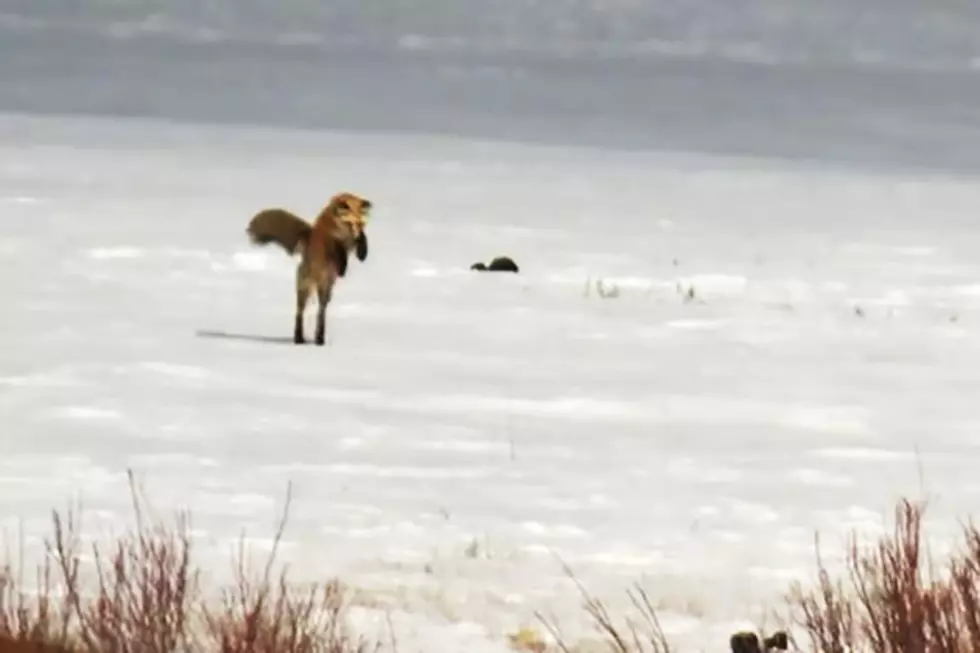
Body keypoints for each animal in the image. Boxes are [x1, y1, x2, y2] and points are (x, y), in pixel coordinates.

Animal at [247, 192, 374, 346]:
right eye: (349, 223)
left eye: (360, 224)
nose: (355, 236)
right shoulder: (330, 242)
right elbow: (338, 250)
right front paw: (343, 265)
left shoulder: (353, 241)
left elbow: (363, 241)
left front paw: (362, 252)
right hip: (305, 289)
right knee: (299, 314)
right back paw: (299, 338)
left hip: (326, 292)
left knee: (321, 313)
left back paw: (319, 338)